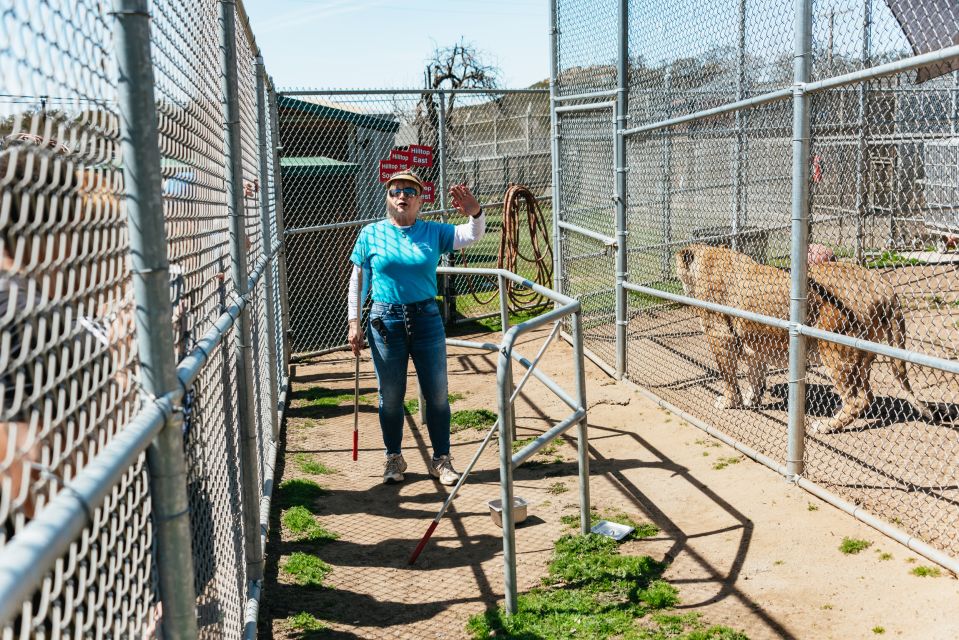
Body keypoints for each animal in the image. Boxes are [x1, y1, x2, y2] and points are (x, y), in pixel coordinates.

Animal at [676, 245, 928, 436]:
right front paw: (751, 399)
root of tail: (884, 286)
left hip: (834, 348)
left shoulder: (721, 337)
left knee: (858, 399)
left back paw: (826, 426)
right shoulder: (754, 342)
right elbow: (755, 375)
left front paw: (729, 401)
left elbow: (728, 375)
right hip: (863, 355)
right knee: (865, 394)